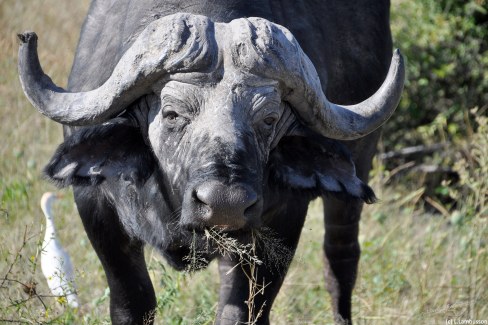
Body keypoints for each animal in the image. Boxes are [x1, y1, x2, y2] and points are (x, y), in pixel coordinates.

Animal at [17, 1, 402, 322]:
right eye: (172, 114)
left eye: (268, 119)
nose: (225, 204)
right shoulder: (96, 209)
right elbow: (132, 302)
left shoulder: (281, 224)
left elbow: (243, 310)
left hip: (358, 169)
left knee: (340, 257)